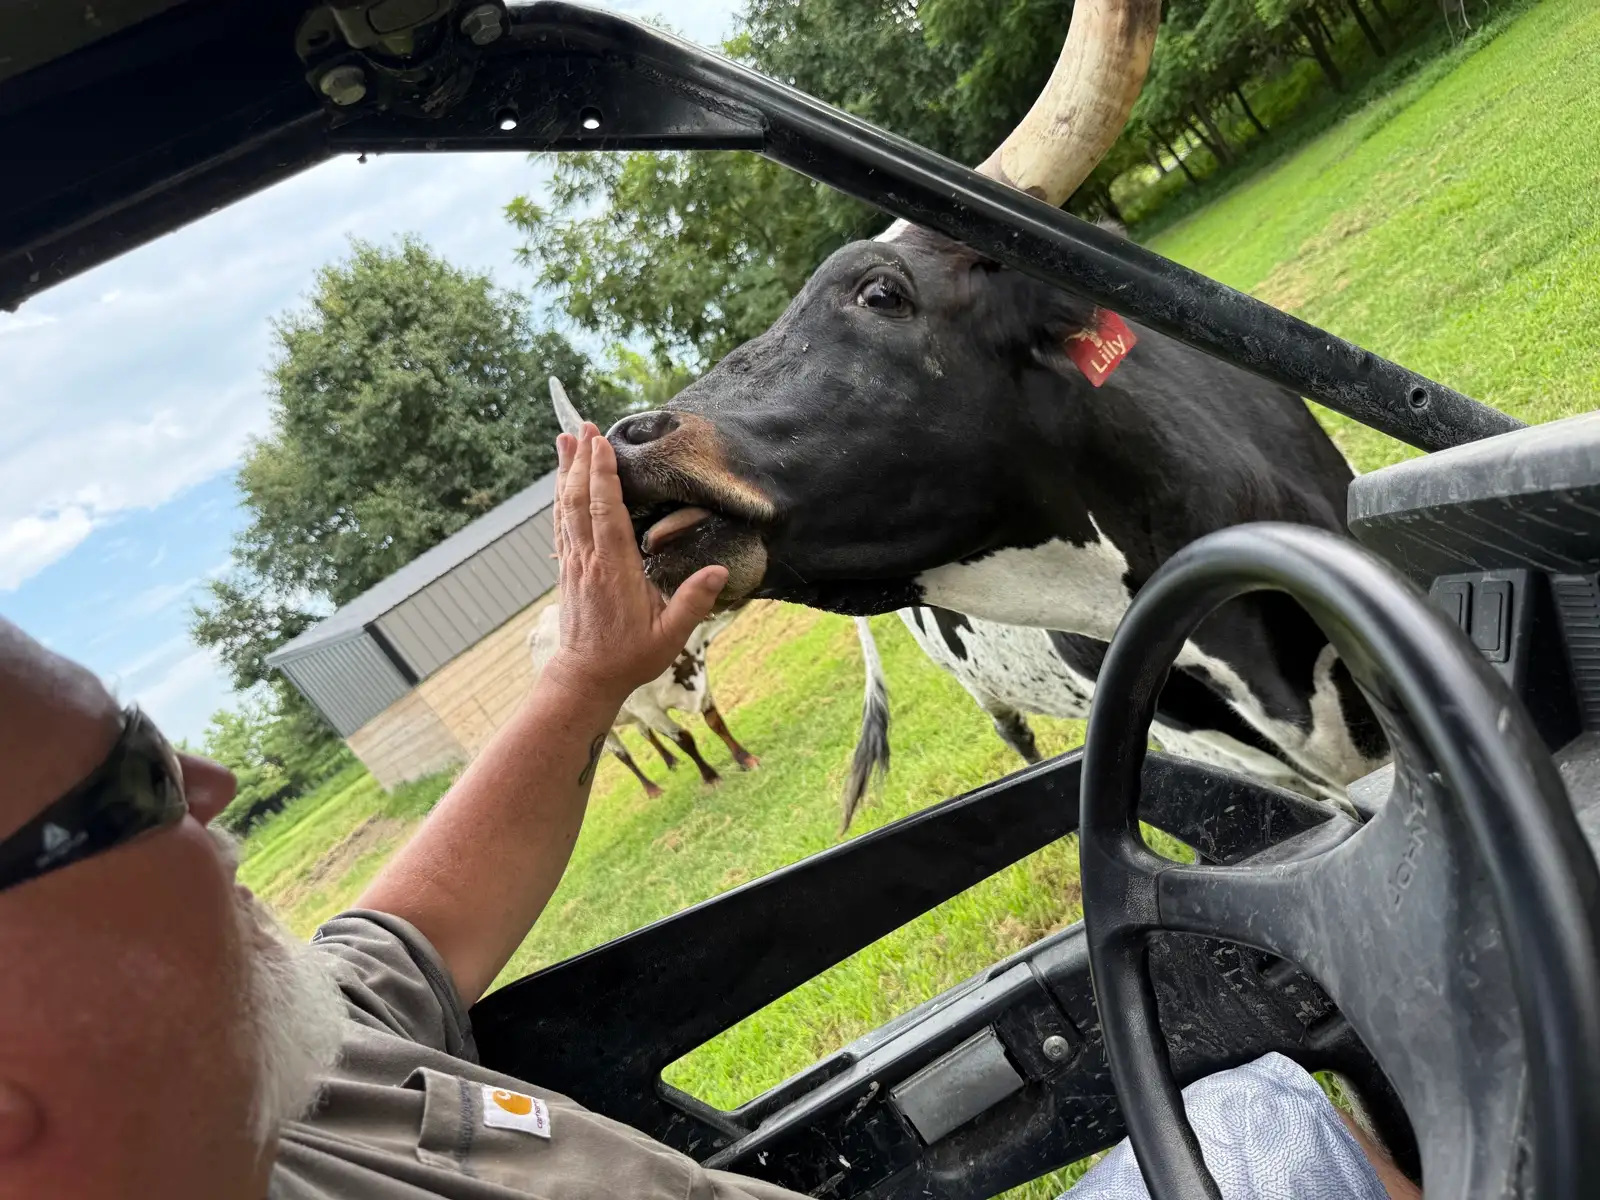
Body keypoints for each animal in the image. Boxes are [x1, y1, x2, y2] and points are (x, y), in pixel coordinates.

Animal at [526, 602, 757, 798]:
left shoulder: (701, 687)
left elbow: (716, 723)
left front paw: (745, 758)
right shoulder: (649, 710)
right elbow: (684, 739)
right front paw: (711, 777)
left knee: (646, 733)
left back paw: (671, 761)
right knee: (623, 755)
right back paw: (652, 790)